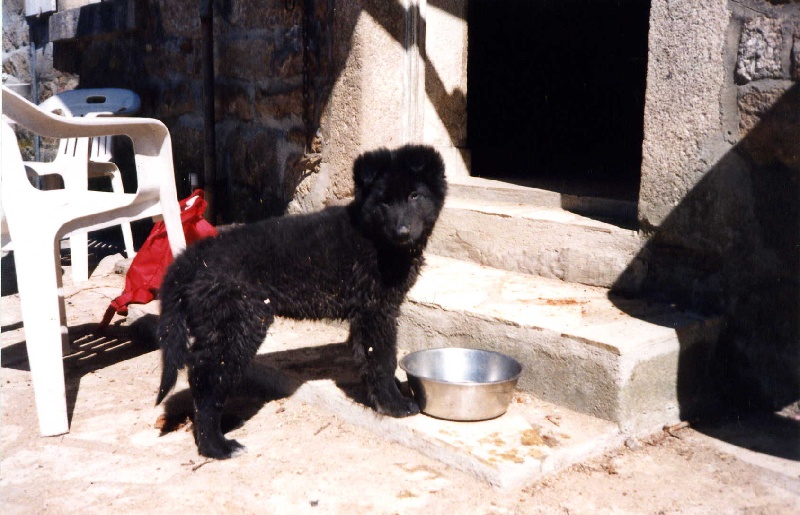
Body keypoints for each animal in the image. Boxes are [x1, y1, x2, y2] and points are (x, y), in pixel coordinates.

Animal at [153, 143, 446, 458]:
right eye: (384, 203)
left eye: (414, 196)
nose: (402, 232)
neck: (375, 237)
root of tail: (193, 257)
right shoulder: (376, 310)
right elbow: (382, 358)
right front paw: (394, 404)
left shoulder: (368, 312)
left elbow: (370, 358)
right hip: (238, 324)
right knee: (207, 378)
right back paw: (216, 445)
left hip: (216, 324)